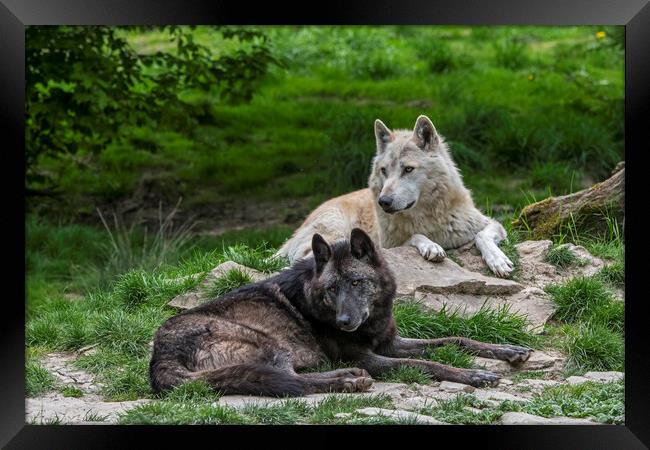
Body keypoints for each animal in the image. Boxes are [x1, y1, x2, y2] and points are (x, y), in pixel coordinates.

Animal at [152, 230, 532, 396]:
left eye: (356, 282)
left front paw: (508, 350)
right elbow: (427, 364)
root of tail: (158, 359)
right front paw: (474, 375)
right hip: (271, 344)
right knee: (291, 381)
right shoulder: (369, 357)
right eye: (332, 289)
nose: (344, 322)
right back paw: (349, 380)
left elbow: (454, 338)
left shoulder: (390, 343)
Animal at [276, 115, 512, 278]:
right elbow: (414, 236)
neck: (427, 217)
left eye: (408, 169)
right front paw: (431, 246)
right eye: (384, 171)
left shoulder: (491, 223)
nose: (383, 202)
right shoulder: (386, 246)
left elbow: (482, 235)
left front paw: (498, 261)